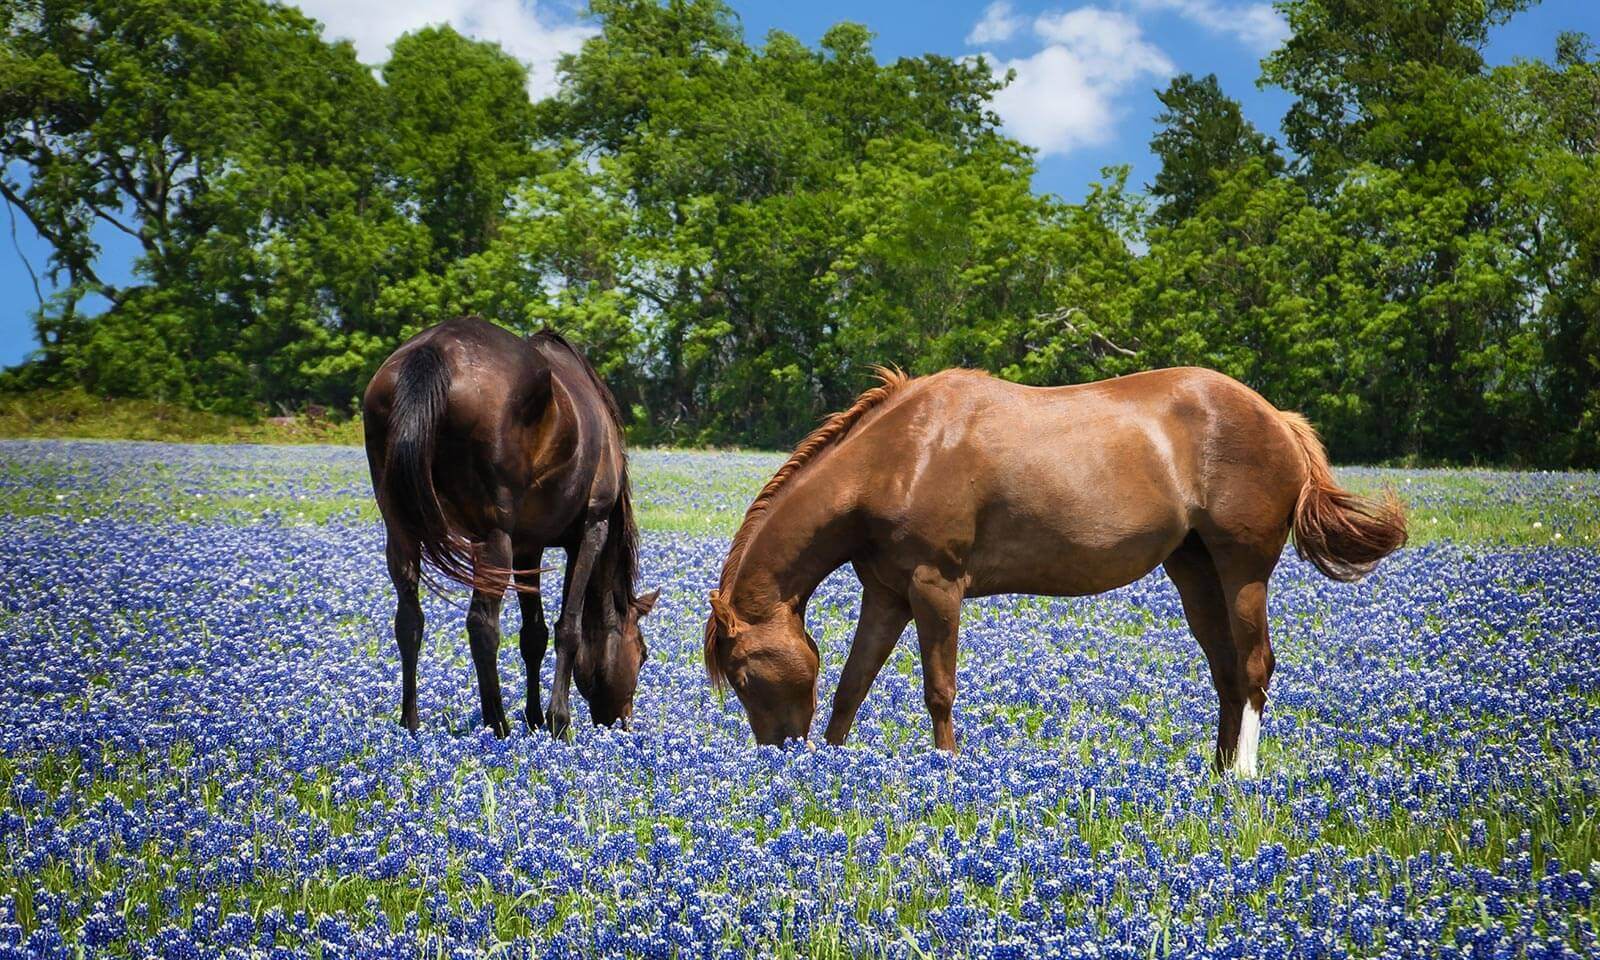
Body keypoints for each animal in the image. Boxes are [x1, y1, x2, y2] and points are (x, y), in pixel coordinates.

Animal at [363, 318, 656, 739]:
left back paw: (410, 724)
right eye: (643, 654)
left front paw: (534, 718)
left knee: (408, 620)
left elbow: (533, 635)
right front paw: (558, 721)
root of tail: (434, 349)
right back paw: (496, 724)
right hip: (491, 534)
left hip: (400, 527)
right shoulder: (591, 527)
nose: (622, 723)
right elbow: (568, 627)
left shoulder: (528, 546)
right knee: (482, 625)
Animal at [707, 363, 1408, 777]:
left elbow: (939, 689)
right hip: (1195, 571)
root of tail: (1277, 418)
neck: (901, 456)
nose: (778, 754)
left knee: (1256, 666)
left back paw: (1242, 775)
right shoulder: (886, 594)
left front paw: (945, 770)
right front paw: (833, 772)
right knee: (1228, 671)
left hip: (1244, 570)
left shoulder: (936, 587)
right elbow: (852, 686)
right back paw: (1214, 769)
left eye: (740, 674)